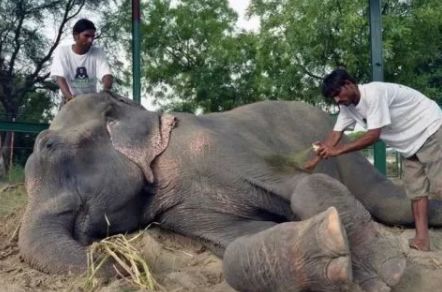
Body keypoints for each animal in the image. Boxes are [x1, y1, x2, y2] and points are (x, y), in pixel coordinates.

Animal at [19, 90, 442, 290]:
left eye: (49, 146)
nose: (118, 264)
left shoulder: (224, 148)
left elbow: (302, 183)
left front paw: (385, 275)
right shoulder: (180, 209)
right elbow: (237, 241)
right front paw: (332, 256)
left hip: (351, 157)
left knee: (390, 204)